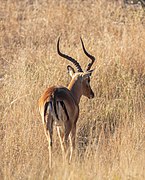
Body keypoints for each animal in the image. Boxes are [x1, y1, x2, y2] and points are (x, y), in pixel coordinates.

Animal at [38, 37, 95, 168]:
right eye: (88, 80)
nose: (92, 94)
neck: (71, 94)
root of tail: (53, 94)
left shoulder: (59, 126)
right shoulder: (73, 123)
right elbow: (72, 142)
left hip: (47, 124)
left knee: (51, 142)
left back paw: (51, 165)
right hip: (67, 123)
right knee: (66, 141)